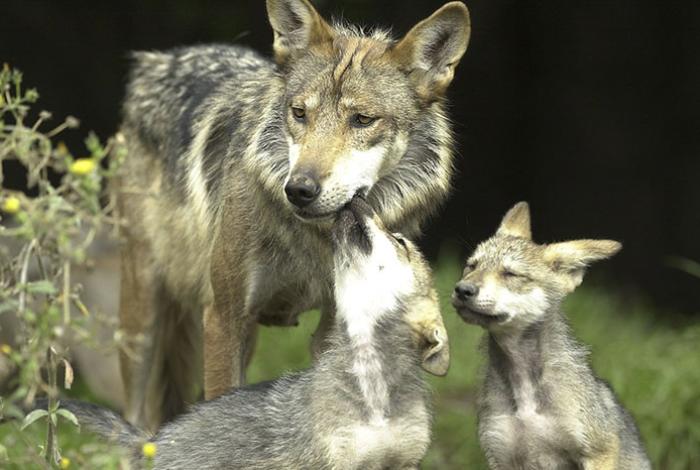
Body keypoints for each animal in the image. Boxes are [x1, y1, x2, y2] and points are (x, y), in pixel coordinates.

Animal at [116, 0, 470, 429]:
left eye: (362, 120)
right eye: (300, 113)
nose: (299, 190)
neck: (314, 241)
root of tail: (160, 60)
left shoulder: (337, 328)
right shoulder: (223, 318)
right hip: (143, 323)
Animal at [451, 202, 650, 469]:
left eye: (511, 274)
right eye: (471, 266)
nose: (462, 290)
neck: (523, 385)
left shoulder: (598, 451)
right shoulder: (501, 458)